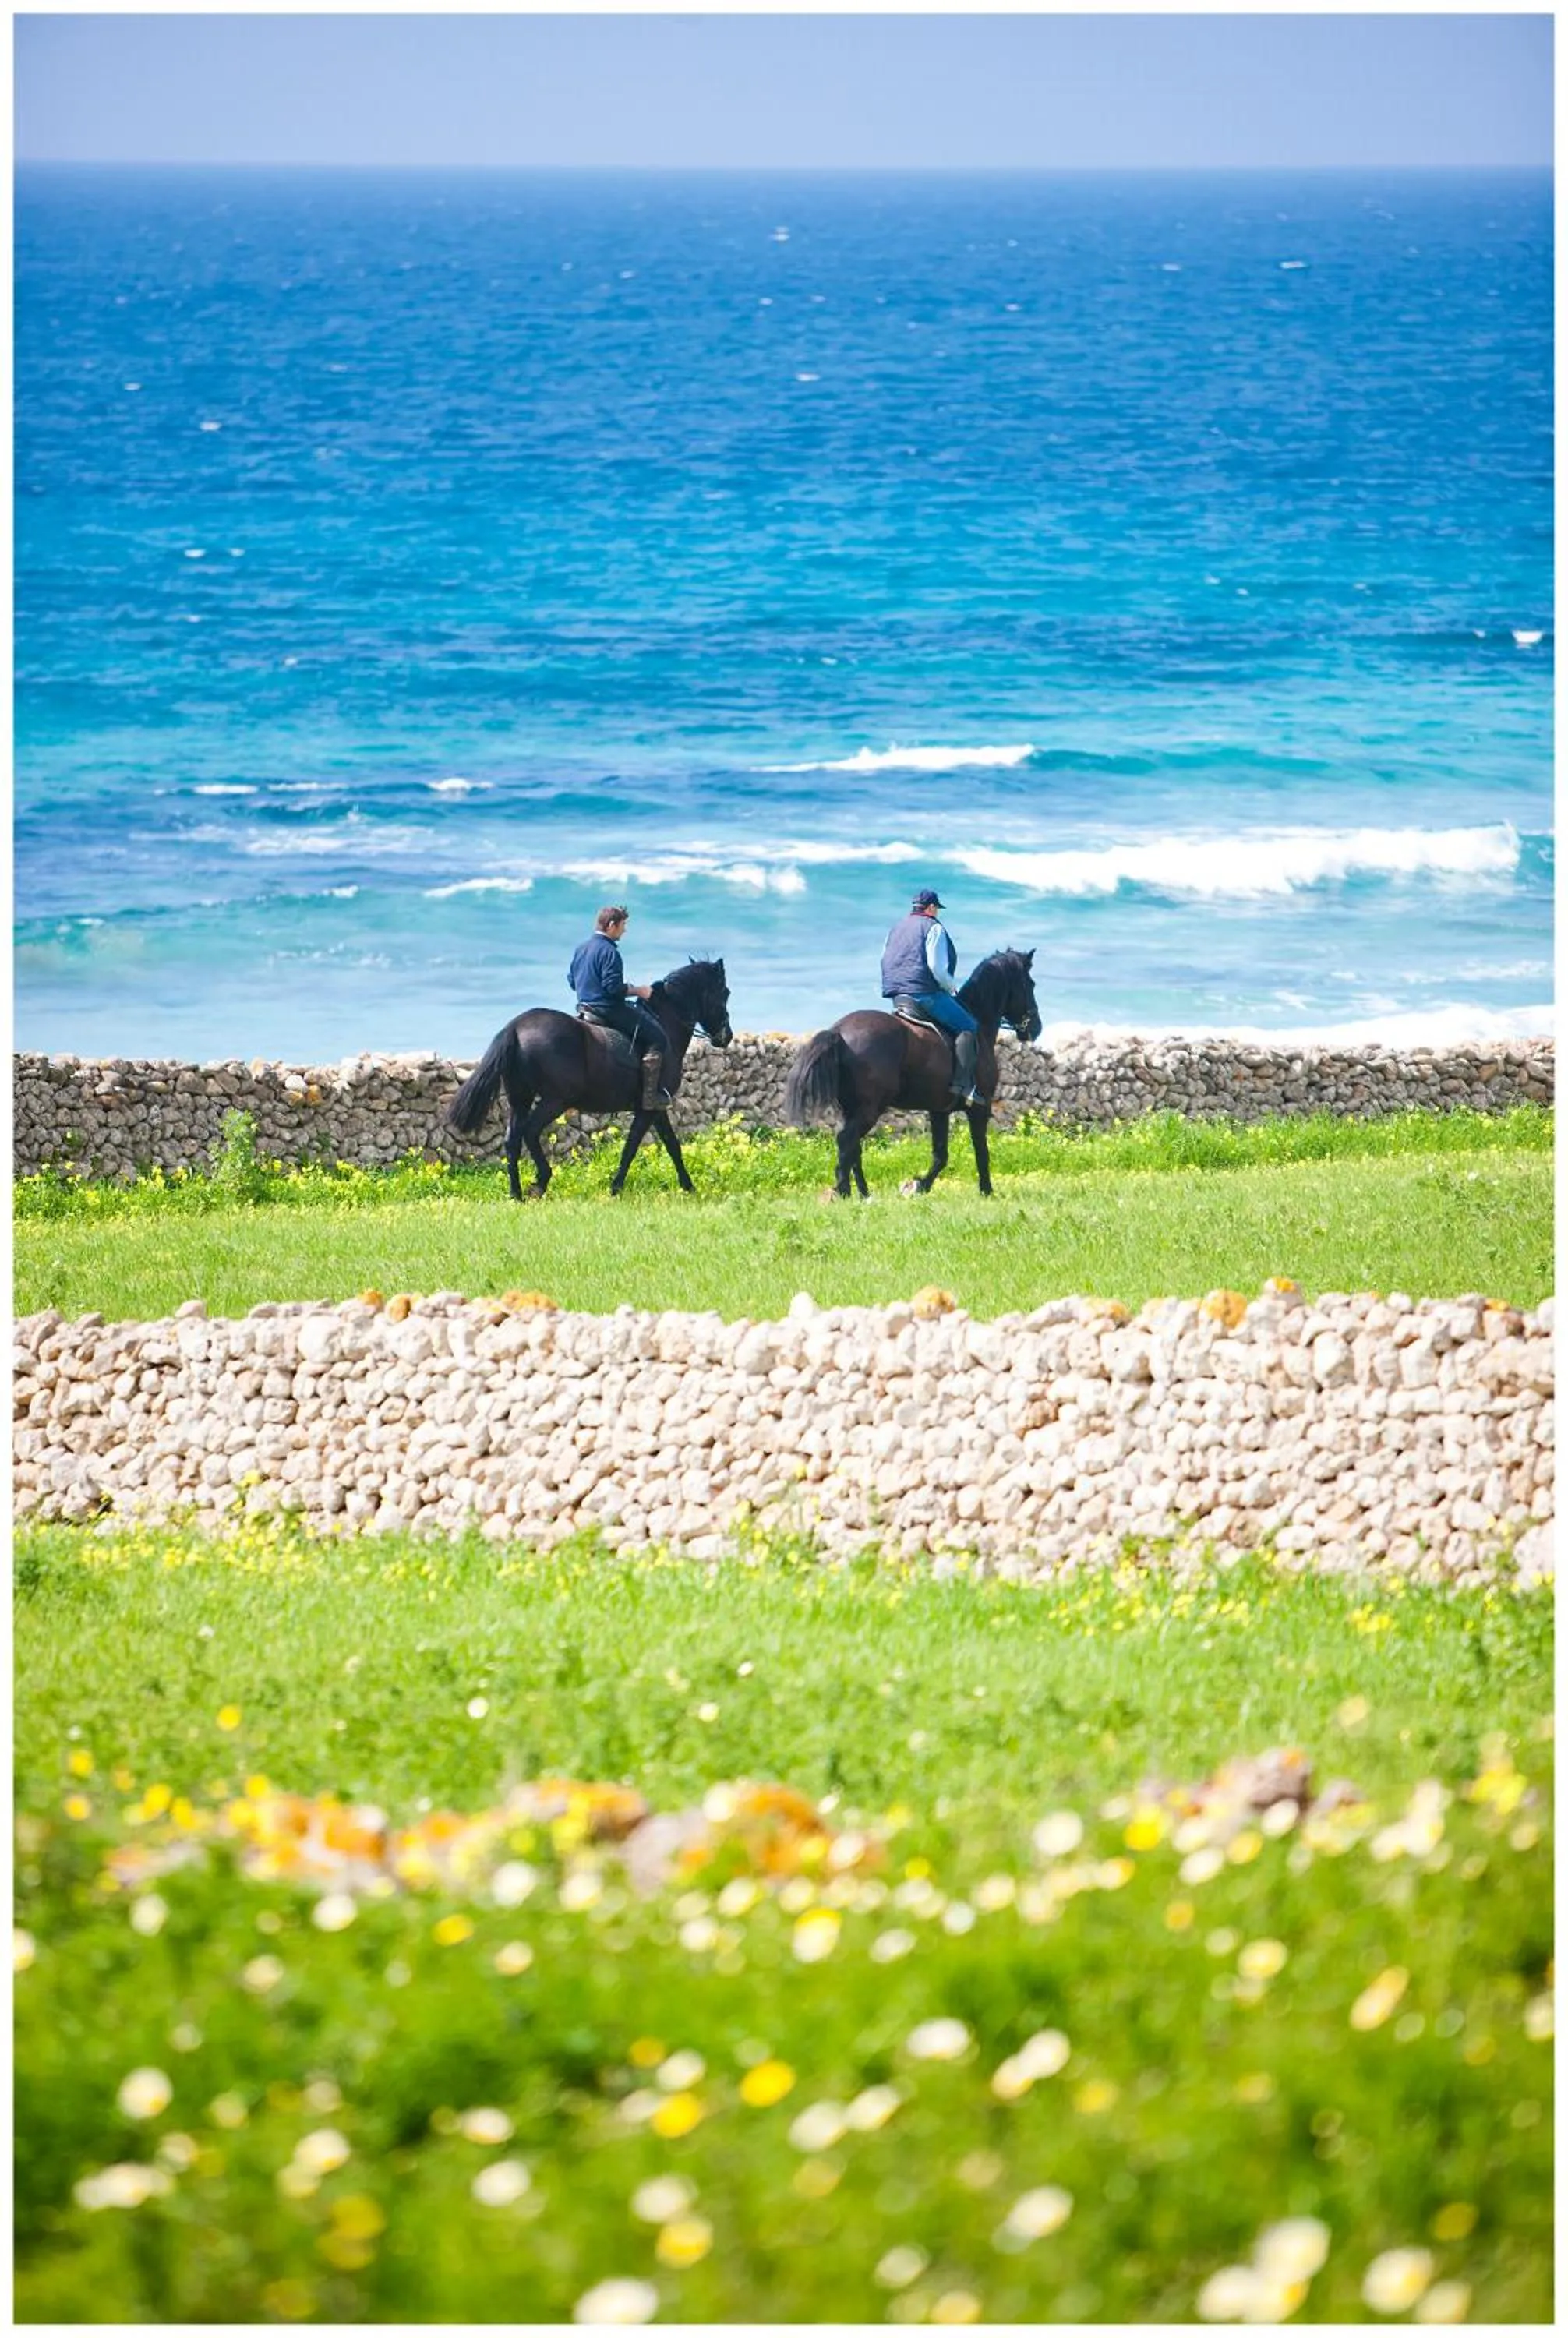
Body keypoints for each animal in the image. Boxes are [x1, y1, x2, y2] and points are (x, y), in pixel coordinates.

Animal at [446, 958, 733, 1200]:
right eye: (725, 993)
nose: (726, 1037)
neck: (666, 1024)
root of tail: (516, 1027)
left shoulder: (656, 1107)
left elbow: (672, 1145)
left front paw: (688, 1186)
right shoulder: (649, 1108)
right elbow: (632, 1147)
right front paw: (616, 1188)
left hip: (521, 1098)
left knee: (512, 1140)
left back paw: (516, 1194)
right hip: (554, 1100)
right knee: (530, 1132)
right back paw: (541, 1181)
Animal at [783, 949, 1042, 1198]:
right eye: (1031, 983)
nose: (1036, 1027)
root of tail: (838, 1032)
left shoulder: (939, 1110)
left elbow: (941, 1155)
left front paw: (918, 1186)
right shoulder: (980, 1107)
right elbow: (981, 1150)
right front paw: (986, 1191)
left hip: (852, 1108)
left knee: (853, 1146)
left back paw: (865, 1194)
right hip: (869, 1108)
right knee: (847, 1140)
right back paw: (844, 1191)